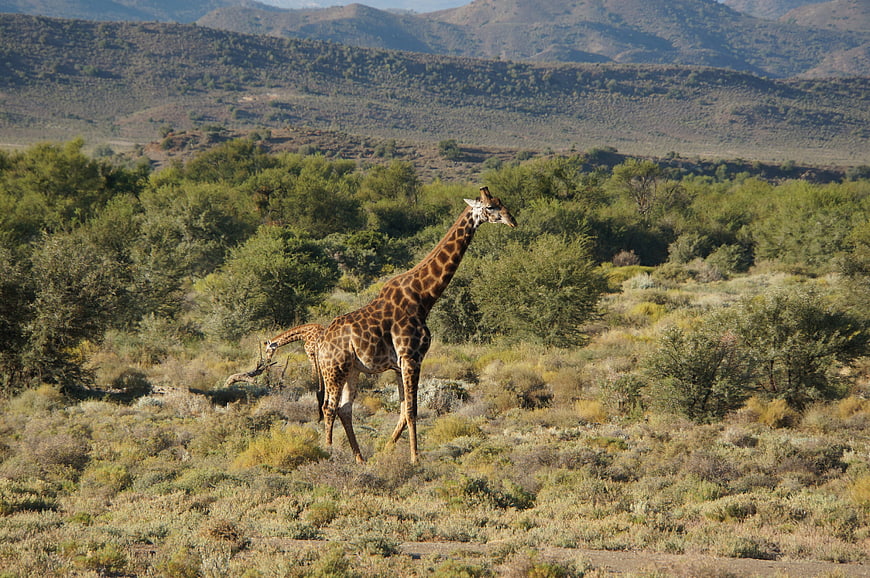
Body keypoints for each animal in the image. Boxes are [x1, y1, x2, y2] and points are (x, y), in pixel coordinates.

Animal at [317, 186, 516, 463]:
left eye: (501, 202)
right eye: (489, 207)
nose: (512, 220)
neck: (424, 297)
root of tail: (320, 344)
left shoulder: (401, 363)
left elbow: (403, 411)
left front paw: (387, 450)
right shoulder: (411, 357)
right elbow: (412, 410)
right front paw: (415, 458)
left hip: (352, 370)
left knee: (345, 409)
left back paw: (360, 459)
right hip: (334, 369)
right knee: (329, 407)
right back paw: (328, 453)